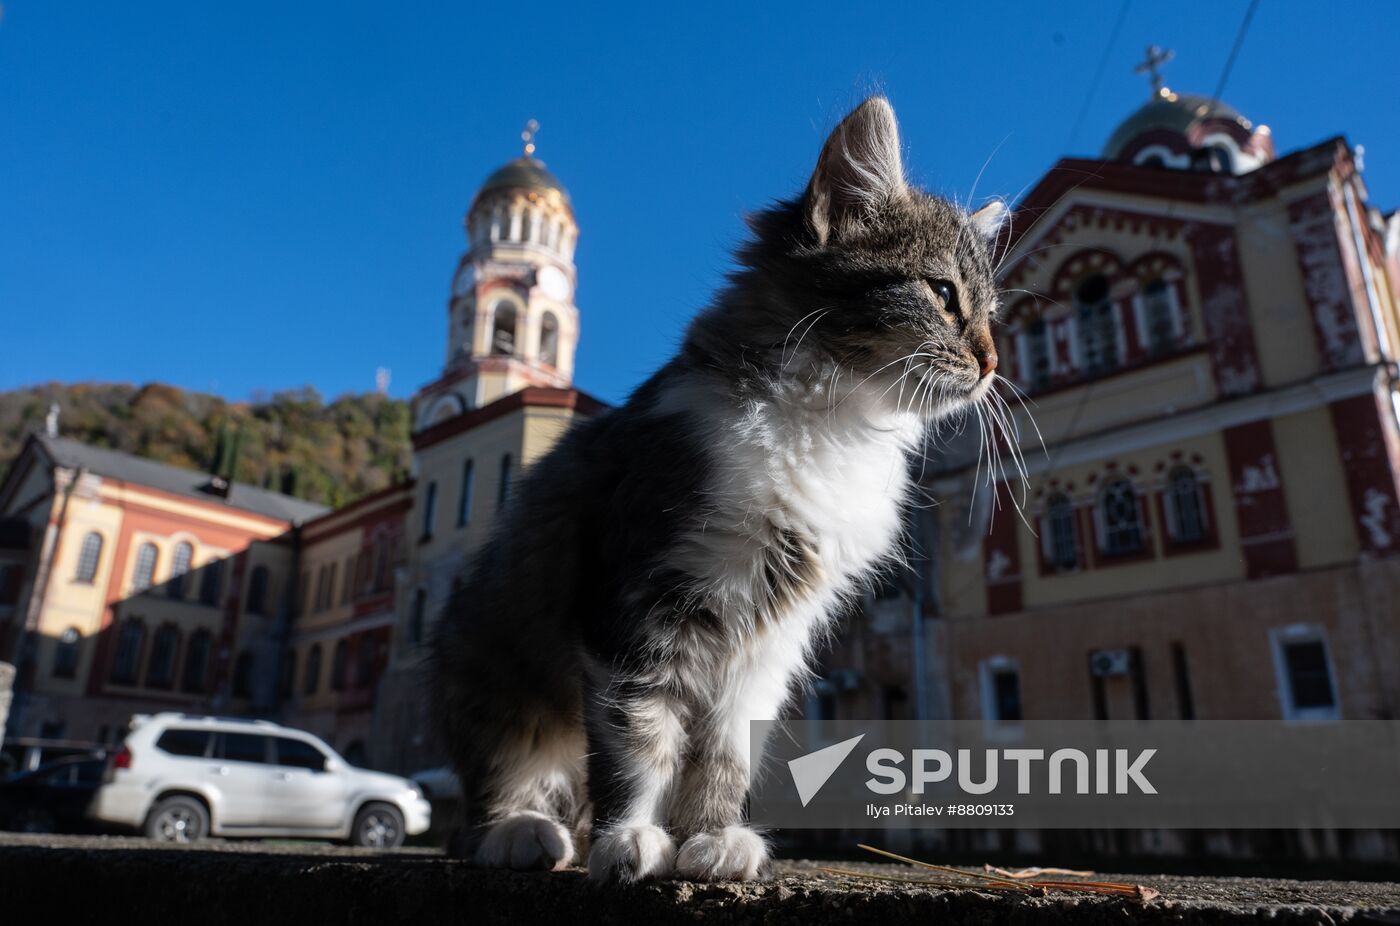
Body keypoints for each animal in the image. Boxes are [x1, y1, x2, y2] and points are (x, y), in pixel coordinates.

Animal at [428, 95, 1008, 879]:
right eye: (943, 293)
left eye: (992, 315)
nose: (992, 362)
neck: (827, 424)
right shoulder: (638, 597)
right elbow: (639, 737)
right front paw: (632, 837)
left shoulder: (767, 643)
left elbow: (725, 753)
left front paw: (710, 838)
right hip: (486, 661)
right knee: (497, 782)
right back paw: (523, 832)